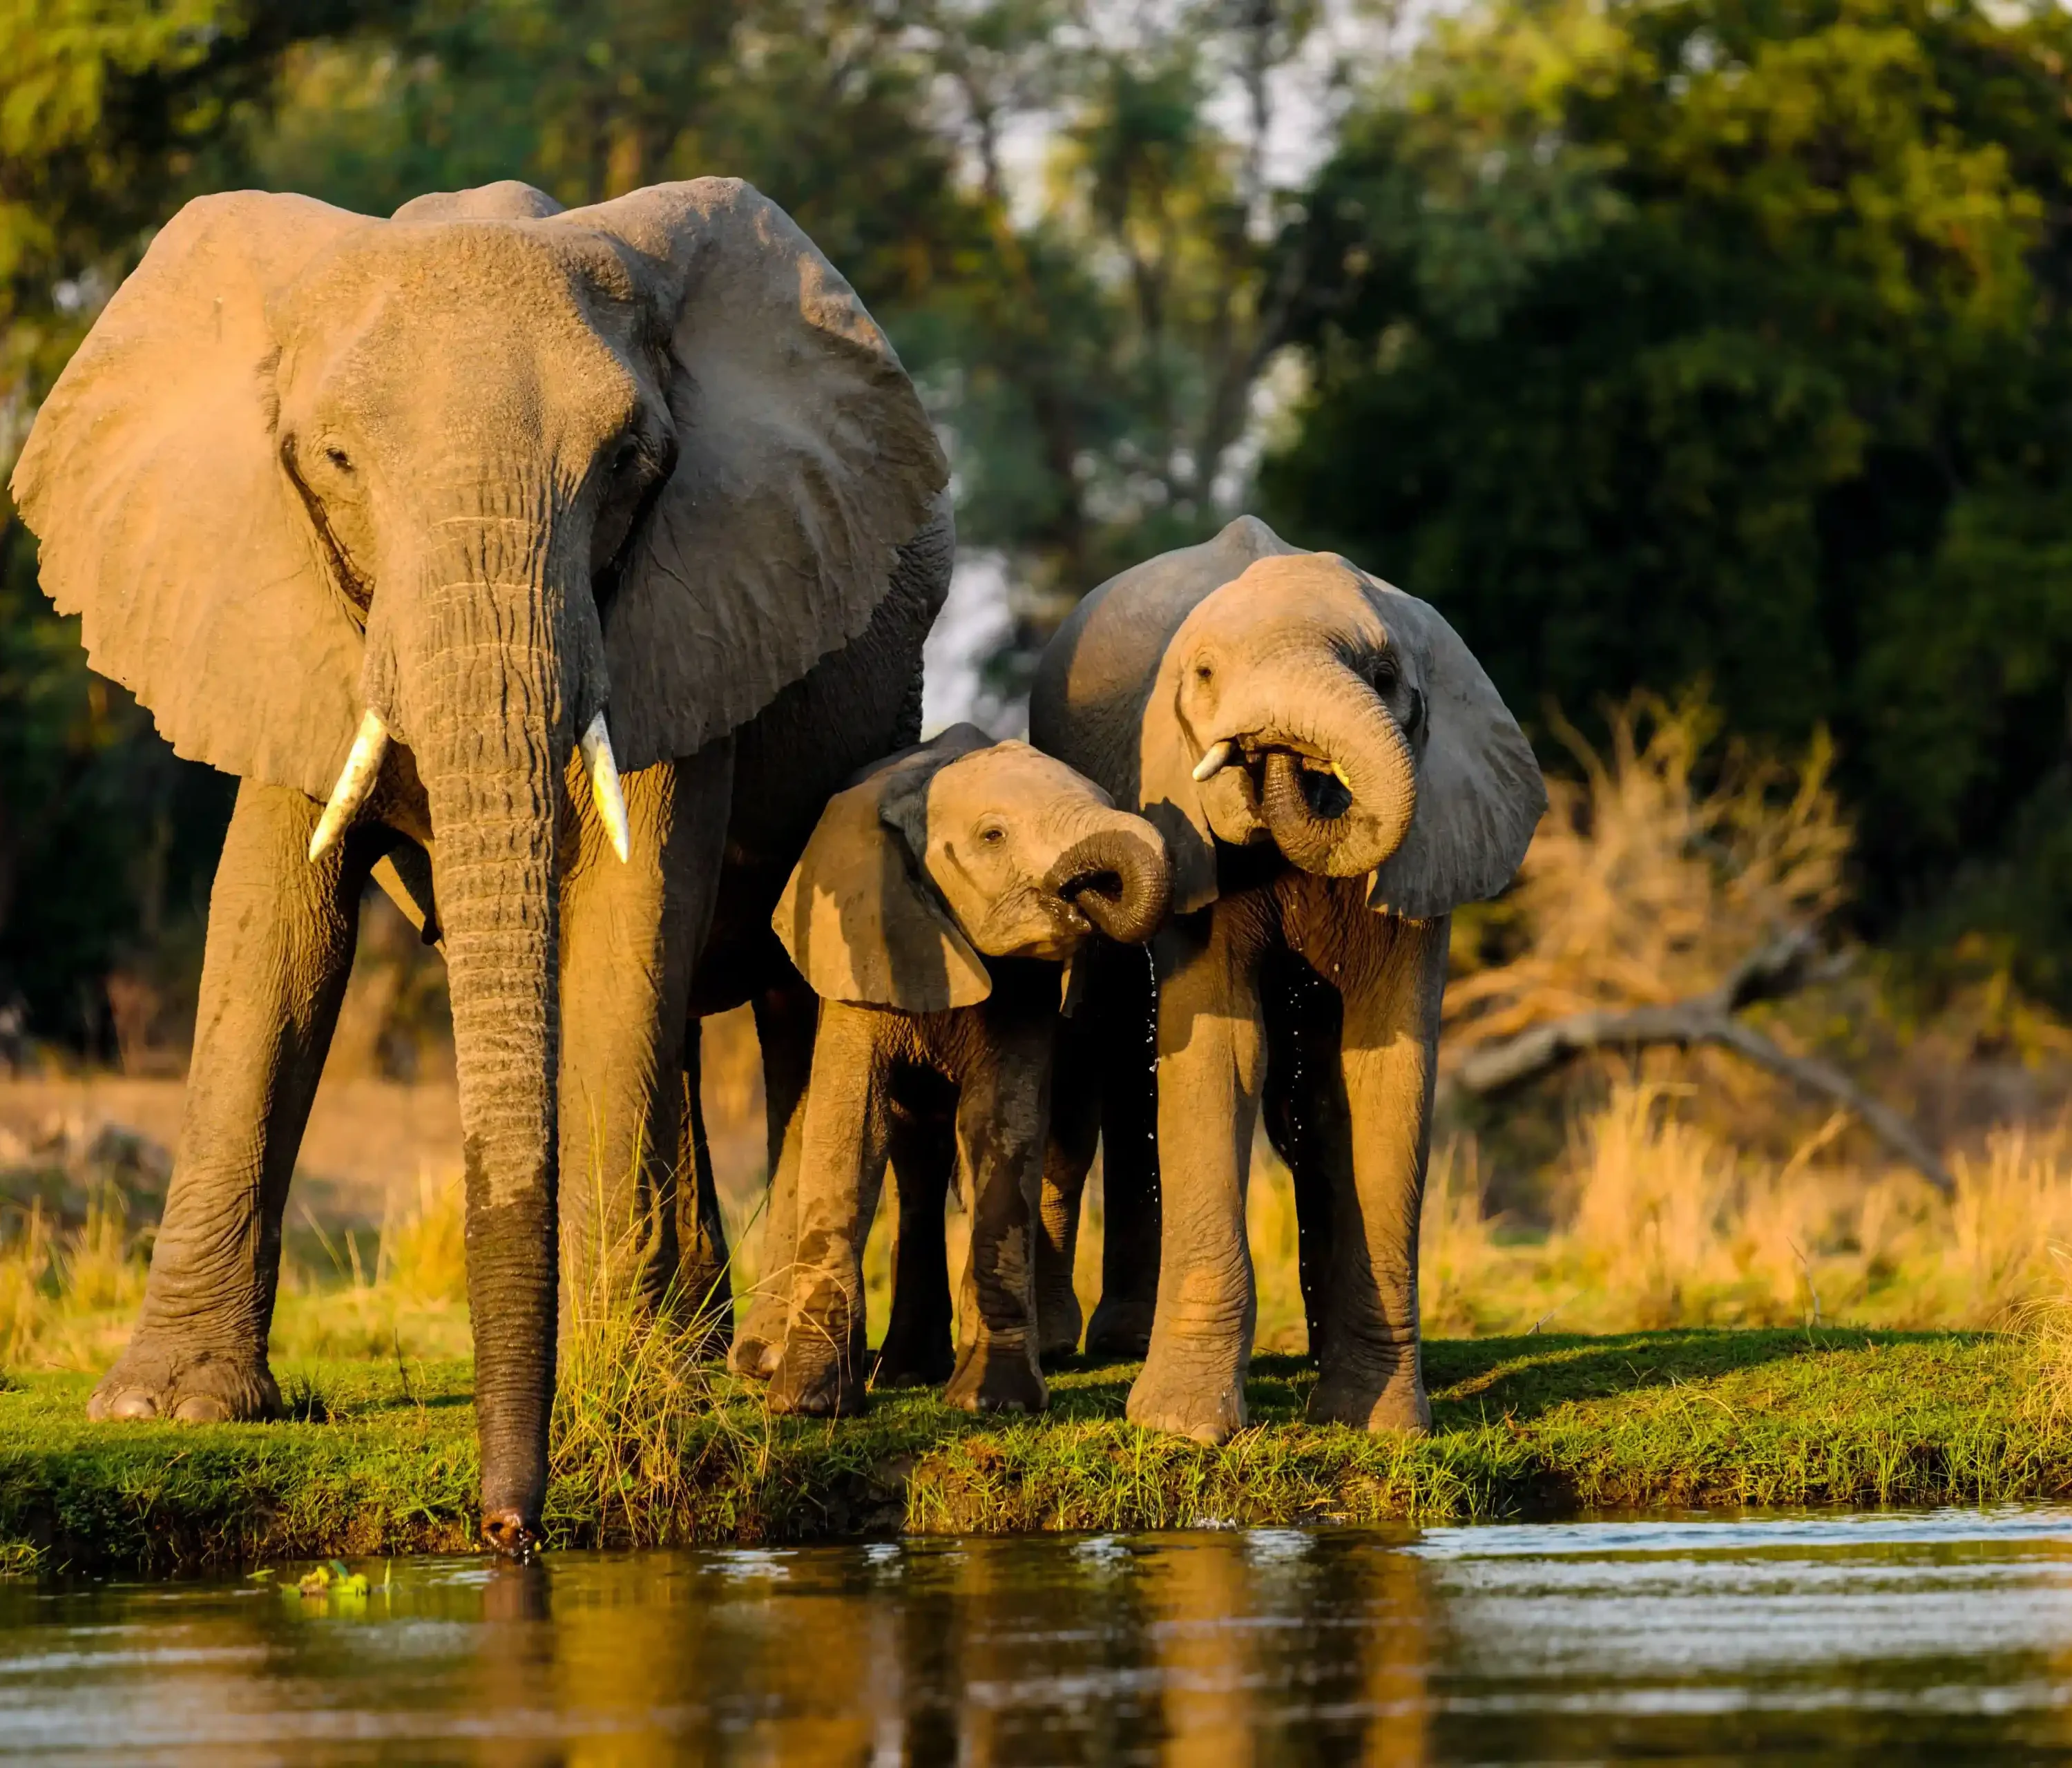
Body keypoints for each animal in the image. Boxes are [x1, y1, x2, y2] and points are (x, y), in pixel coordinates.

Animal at [9, 175, 951, 1551]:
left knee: (790, 995)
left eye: (631, 463)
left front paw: (627, 1388)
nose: (508, 1529)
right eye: (336, 461)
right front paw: (164, 1411)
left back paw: (780, 1372)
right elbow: (272, 933)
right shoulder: (272, 601)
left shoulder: (687, 602)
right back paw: (700, 1345)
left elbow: (628, 911)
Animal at [756, 725, 1171, 1417]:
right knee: (915, 1152)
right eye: (993, 836)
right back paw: (898, 1372)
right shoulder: (862, 946)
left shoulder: (1026, 985)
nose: (1090, 893)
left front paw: (993, 1404)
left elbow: (999, 1129)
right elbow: (851, 1129)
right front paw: (809, 1405)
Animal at [1028, 516, 1545, 1443]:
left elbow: (1384, 1072)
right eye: (1203, 676)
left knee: (1301, 1102)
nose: (1274, 751)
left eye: (1384, 678)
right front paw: (1183, 1429)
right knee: (1103, 1043)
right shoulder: (1184, 827)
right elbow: (1220, 1049)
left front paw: (1379, 1424)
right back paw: (1082, 1346)